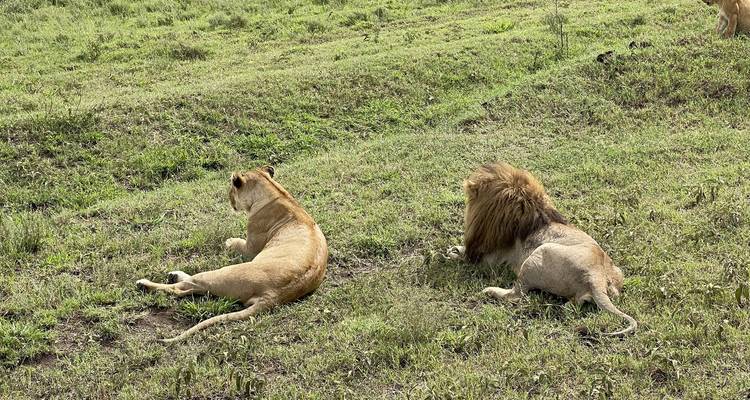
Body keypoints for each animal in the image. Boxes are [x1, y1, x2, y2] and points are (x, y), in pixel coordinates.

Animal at [136, 166, 328, 343]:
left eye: (231, 190)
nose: (229, 200)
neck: (276, 192)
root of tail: (274, 295)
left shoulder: (250, 248)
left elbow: (237, 243)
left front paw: (228, 241)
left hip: (221, 274)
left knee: (181, 288)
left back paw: (146, 283)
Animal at [447, 163, 637, 336]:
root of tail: (596, 278)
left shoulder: (492, 258)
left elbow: (467, 257)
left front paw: (453, 253)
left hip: (538, 254)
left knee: (517, 294)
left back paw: (491, 290)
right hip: (615, 275)